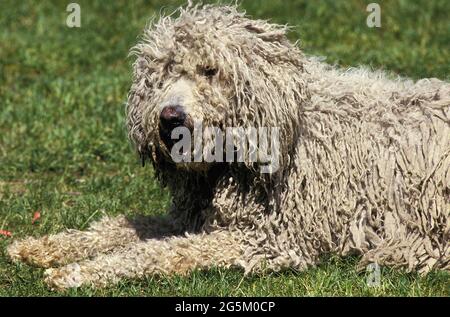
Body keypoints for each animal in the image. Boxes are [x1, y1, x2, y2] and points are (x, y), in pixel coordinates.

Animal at [5, 3, 448, 288]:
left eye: (210, 71)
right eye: (164, 72)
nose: (170, 118)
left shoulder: (270, 240)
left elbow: (161, 252)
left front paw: (77, 272)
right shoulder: (189, 219)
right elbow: (118, 228)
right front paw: (43, 247)